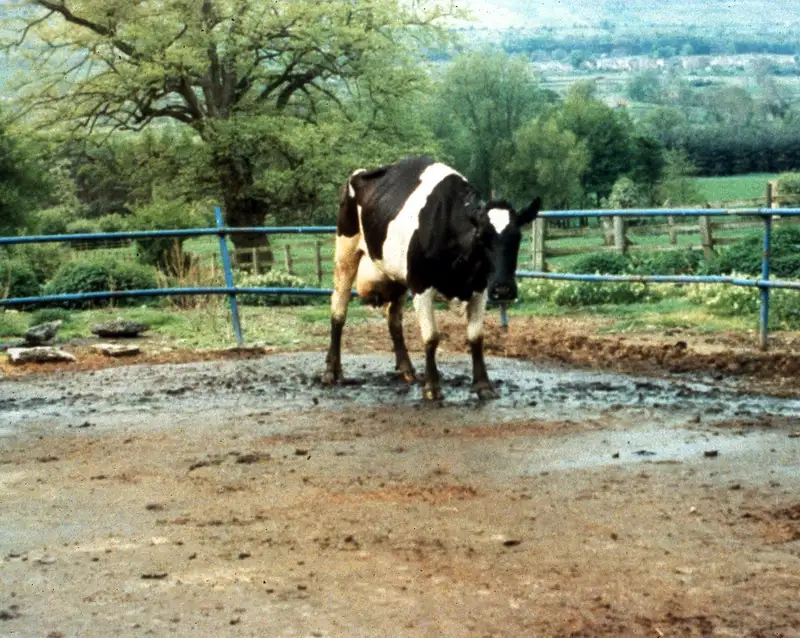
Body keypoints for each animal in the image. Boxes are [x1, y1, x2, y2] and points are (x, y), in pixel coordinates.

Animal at [322, 156, 540, 400]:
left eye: (517, 236)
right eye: (481, 236)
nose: (503, 289)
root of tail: (360, 173)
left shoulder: (480, 288)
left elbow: (476, 336)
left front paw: (483, 384)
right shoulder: (421, 285)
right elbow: (431, 337)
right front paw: (432, 387)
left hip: (397, 274)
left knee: (393, 317)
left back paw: (406, 369)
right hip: (345, 251)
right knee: (339, 309)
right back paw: (332, 371)